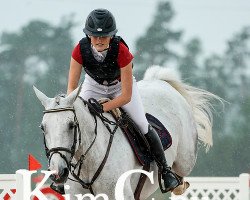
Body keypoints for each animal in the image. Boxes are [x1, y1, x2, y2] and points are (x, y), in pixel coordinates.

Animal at [33, 66, 219, 199]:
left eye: (71, 125)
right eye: (43, 128)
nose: (58, 172)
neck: (88, 163)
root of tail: (160, 82)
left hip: (185, 159)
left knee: (180, 172)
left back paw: (175, 182)